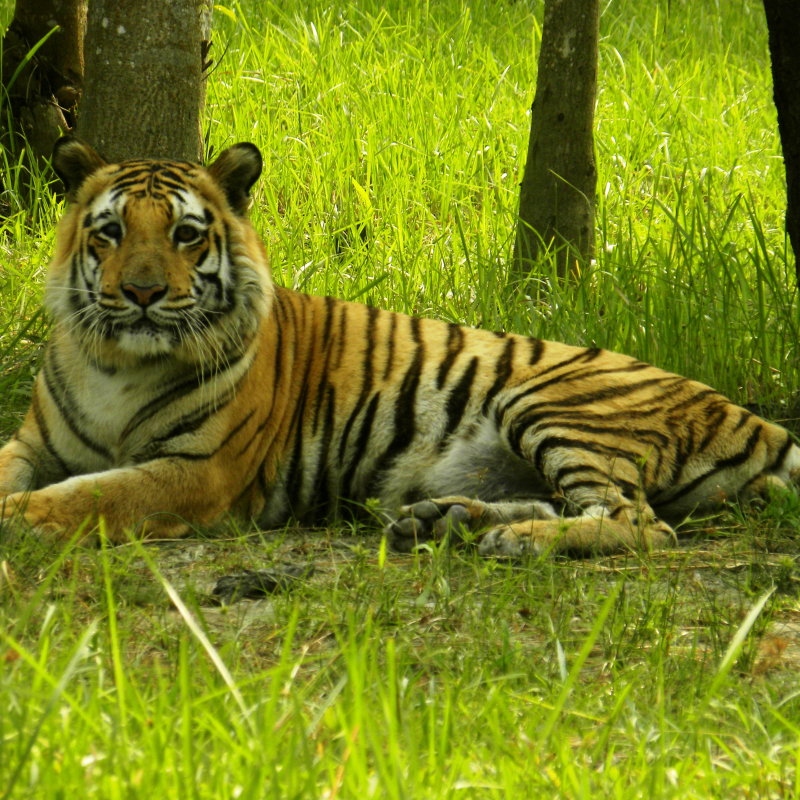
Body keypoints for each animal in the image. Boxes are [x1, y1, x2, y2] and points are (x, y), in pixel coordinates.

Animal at [1, 136, 800, 556]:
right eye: (110, 232)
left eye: (185, 234)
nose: (140, 292)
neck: (116, 363)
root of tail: (743, 411)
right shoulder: (33, 443)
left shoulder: (199, 470)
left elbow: (98, 491)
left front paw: (21, 517)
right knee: (582, 507)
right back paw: (447, 521)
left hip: (553, 405)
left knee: (640, 524)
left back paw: (513, 541)